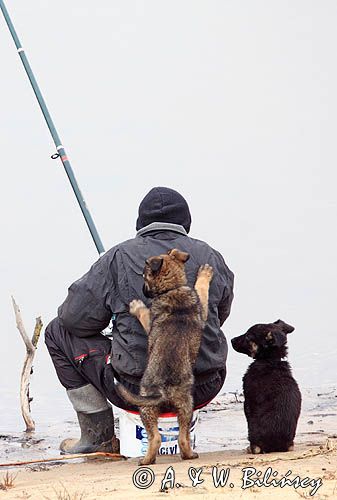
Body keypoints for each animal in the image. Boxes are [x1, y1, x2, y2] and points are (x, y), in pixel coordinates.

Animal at [117, 249, 213, 464]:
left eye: (144, 276)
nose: (143, 291)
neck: (172, 288)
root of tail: (164, 390)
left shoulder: (150, 323)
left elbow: (145, 313)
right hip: (185, 406)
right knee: (182, 437)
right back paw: (188, 455)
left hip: (146, 407)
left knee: (156, 438)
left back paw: (146, 460)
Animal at [231, 320, 300, 454]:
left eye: (248, 336)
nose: (231, 340)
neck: (270, 360)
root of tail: (275, 445)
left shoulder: (247, 401)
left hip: (253, 435)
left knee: (255, 446)